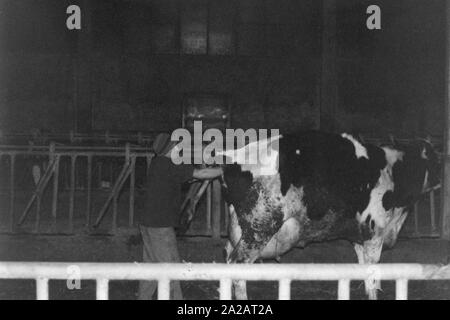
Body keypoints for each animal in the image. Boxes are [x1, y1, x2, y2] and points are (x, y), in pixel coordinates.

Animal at [218, 131, 440, 300]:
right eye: (433, 158)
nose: (439, 179)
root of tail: (234, 158)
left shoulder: (359, 236)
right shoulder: (374, 232)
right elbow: (372, 271)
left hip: (241, 228)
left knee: (228, 254)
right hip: (260, 227)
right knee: (238, 264)